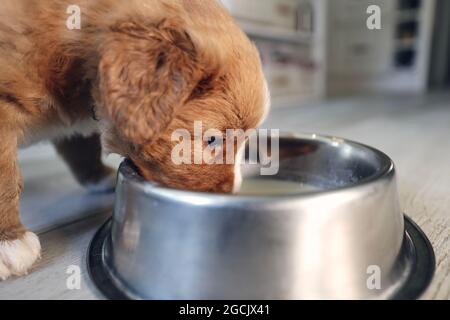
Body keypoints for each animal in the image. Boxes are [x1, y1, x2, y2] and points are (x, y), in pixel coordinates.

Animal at [0, 0, 268, 280]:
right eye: (212, 140)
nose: (233, 192)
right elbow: (5, 174)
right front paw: (10, 242)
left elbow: (81, 146)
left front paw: (98, 176)